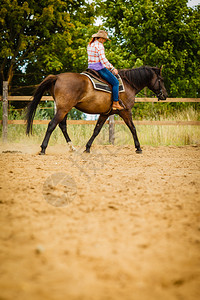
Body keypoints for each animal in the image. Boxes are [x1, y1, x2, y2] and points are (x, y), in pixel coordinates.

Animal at [25, 66, 168, 155]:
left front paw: (87, 148)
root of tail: (57, 77)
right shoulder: (125, 111)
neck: (128, 84)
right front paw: (138, 148)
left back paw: (72, 148)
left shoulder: (105, 113)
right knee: (52, 125)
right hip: (63, 109)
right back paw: (43, 149)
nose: (165, 95)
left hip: (63, 109)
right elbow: (132, 128)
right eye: (161, 79)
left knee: (62, 126)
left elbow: (96, 130)